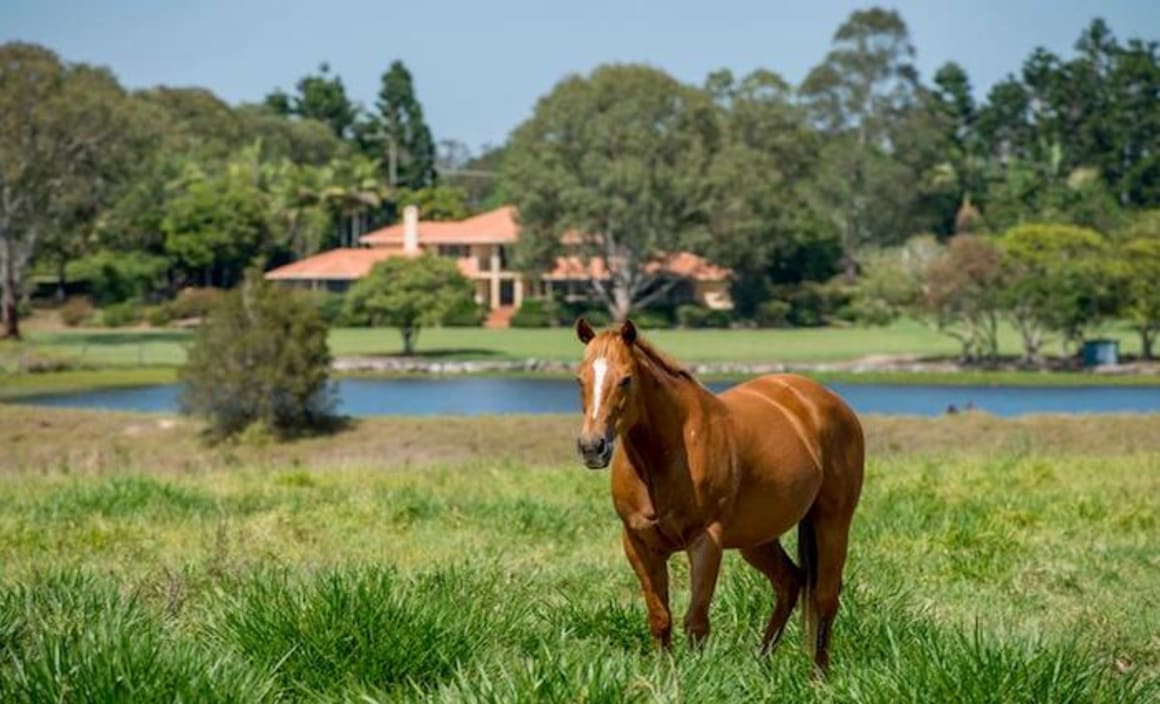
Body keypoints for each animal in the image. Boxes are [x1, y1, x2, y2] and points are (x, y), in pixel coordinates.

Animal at [575, 317, 867, 672]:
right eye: (580, 379)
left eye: (626, 379)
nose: (593, 447)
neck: (667, 454)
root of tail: (826, 401)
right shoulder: (638, 543)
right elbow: (660, 617)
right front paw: (664, 674)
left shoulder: (705, 541)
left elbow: (696, 622)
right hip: (756, 538)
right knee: (790, 582)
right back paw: (761, 663)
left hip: (833, 522)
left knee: (825, 597)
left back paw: (818, 675)